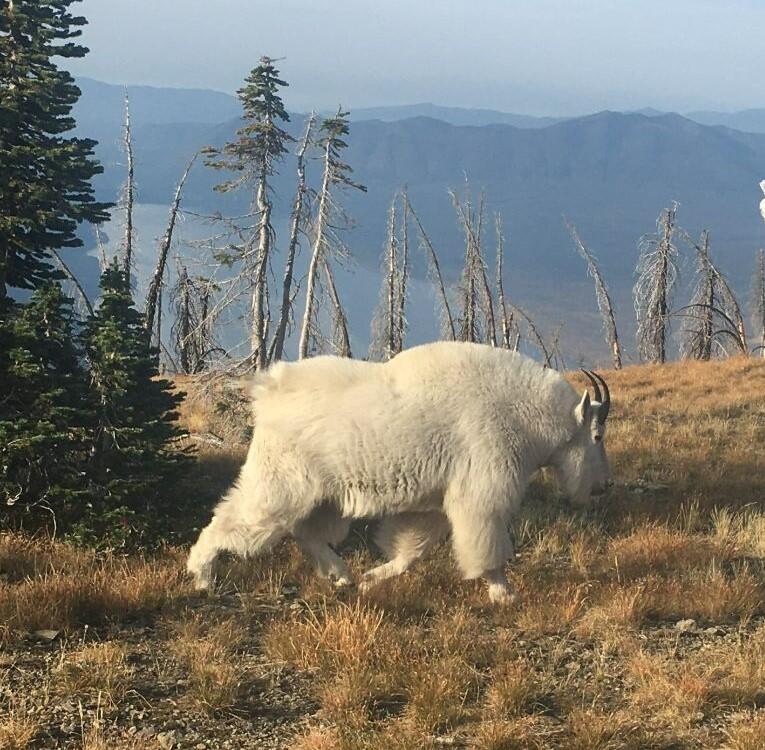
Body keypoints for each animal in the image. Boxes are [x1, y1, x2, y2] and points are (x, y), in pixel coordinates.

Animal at [187, 341, 612, 604]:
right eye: (597, 434)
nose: (602, 487)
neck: (523, 416)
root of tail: (267, 391)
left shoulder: (434, 503)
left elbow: (412, 550)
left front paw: (373, 579)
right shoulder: (481, 492)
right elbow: (487, 547)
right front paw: (503, 593)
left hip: (323, 495)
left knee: (307, 532)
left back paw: (342, 575)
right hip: (281, 481)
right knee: (235, 520)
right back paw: (202, 574)